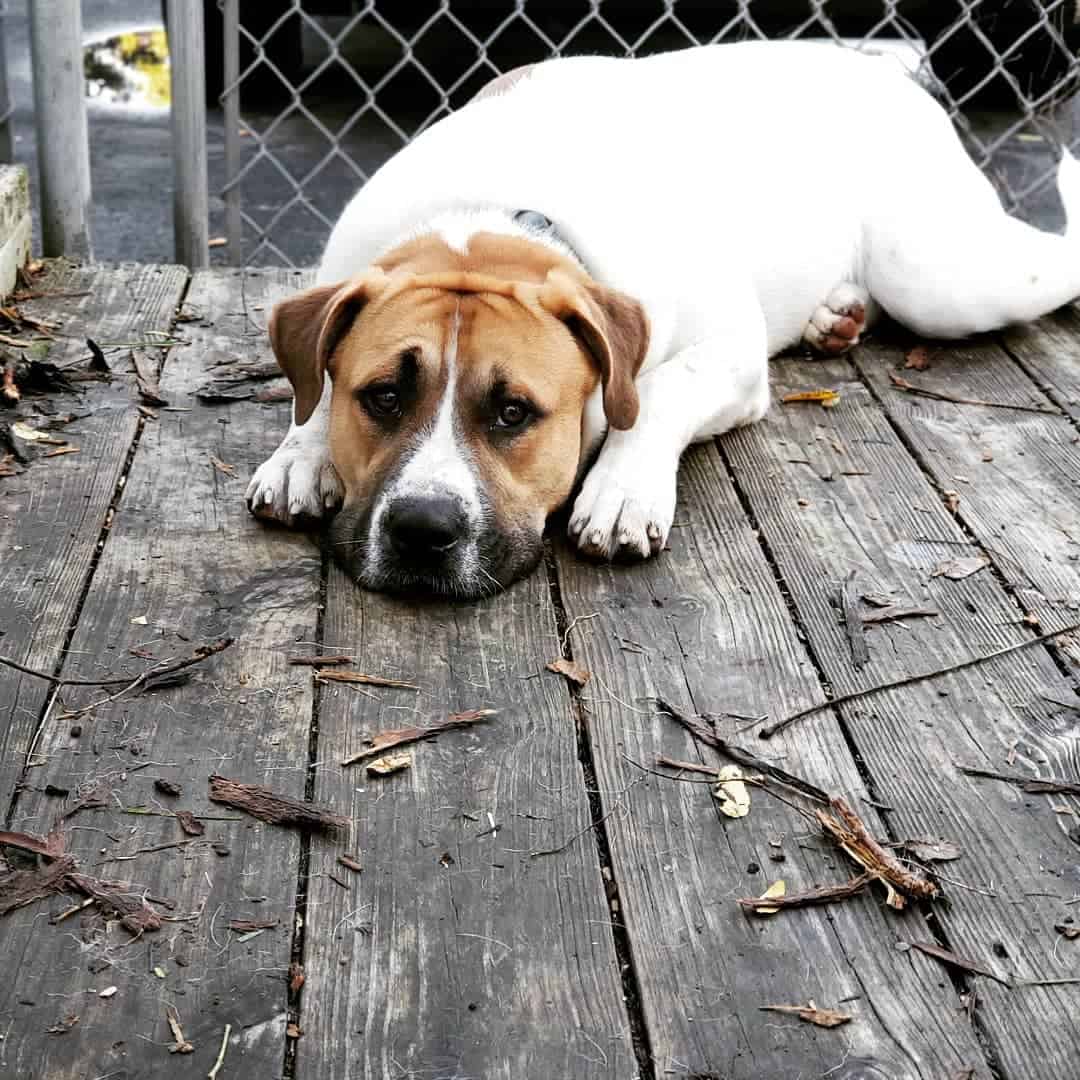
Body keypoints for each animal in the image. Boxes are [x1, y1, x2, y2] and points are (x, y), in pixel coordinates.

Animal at [248, 42, 1080, 600]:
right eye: (383, 396)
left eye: (514, 414)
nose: (423, 527)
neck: (488, 215)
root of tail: (886, 64)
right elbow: (315, 383)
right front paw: (301, 452)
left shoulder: (731, 356)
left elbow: (653, 394)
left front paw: (622, 490)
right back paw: (835, 316)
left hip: (939, 276)